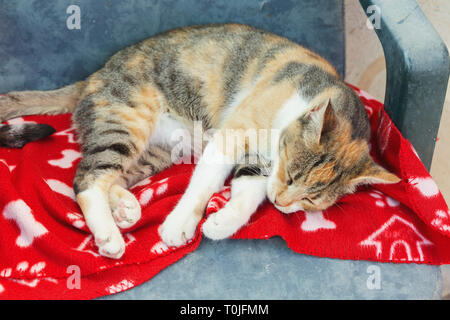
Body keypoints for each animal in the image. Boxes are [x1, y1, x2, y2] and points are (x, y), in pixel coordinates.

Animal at [0, 24, 400, 260]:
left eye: (311, 199)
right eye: (291, 175)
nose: (281, 204)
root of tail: (92, 77)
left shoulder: (257, 164)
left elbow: (248, 193)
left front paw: (221, 223)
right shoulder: (233, 134)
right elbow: (204, 184)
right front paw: (179, 226)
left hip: (161, 150)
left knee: (114, 176)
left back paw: (127, 206)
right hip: (127, 122)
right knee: (86, 179)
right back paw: (110, 236)